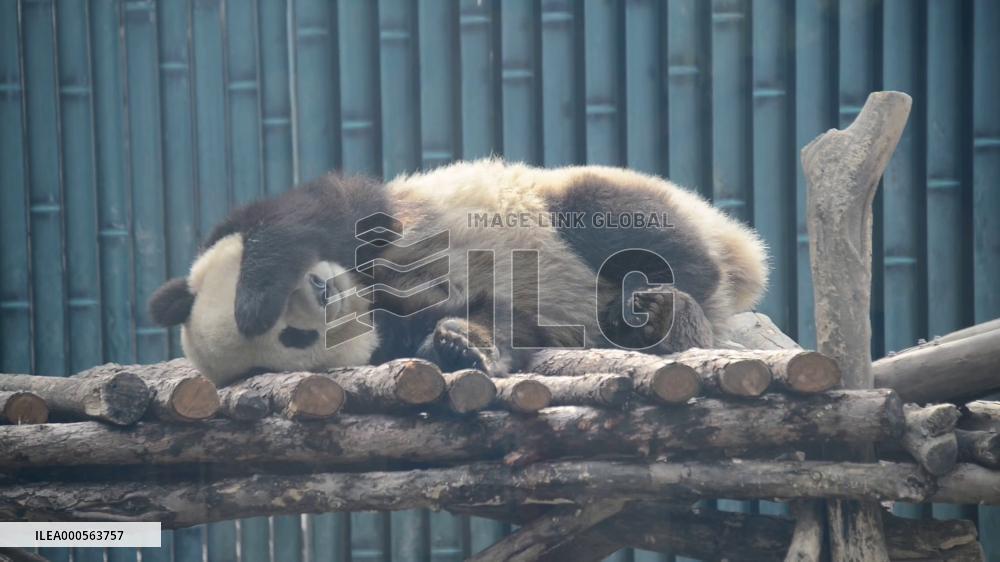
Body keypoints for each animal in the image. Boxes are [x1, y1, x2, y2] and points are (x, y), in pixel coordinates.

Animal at [149, 159, 768, 387]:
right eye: (295, 338)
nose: (323, 291)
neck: (368, 291)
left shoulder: (379, 219)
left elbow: (309, 215)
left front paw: (252, 299)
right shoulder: (394, 330)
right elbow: (498, 320)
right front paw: (461, 347)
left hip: (566, 195)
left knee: (621, 223)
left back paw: (659, 297)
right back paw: (651, 318)